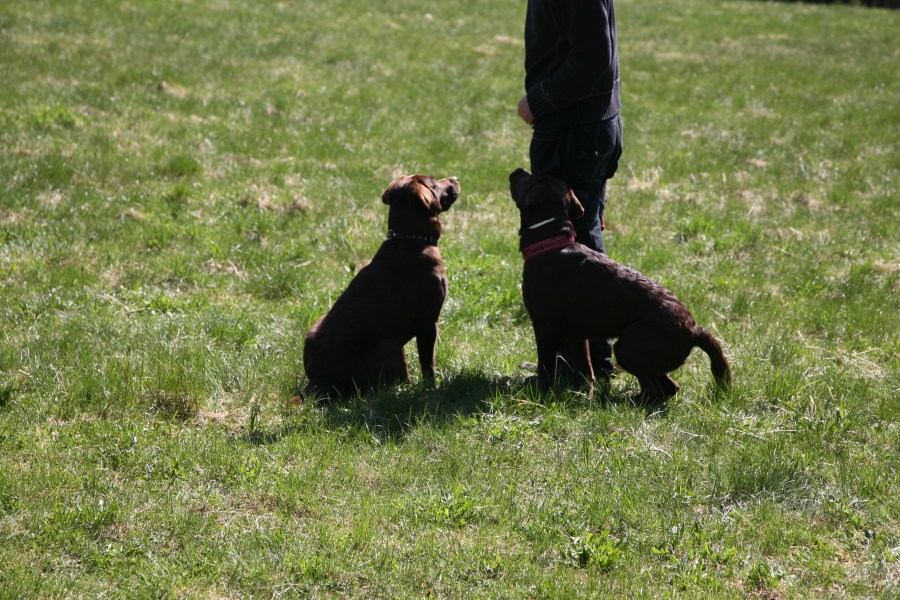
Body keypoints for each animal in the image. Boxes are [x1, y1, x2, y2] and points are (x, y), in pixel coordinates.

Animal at [302, 174, 460, 398]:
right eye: (434, 181)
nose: (455, 178)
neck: (410, 240)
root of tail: (318, 380)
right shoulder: (428, 323)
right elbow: (428, 362)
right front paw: (432, 388)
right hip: (391, 345)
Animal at [509, 168, 730, 404]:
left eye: (530, 178)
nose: (517, 170)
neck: (550, 244)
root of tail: (695, 329)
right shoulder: (577, 334)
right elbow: (585, 370)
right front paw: (583, 395)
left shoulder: (544, 325)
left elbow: (545, 365)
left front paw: (540, 393)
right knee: (670, 387)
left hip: (627, 348)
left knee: (656, 392)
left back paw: (622, 402)